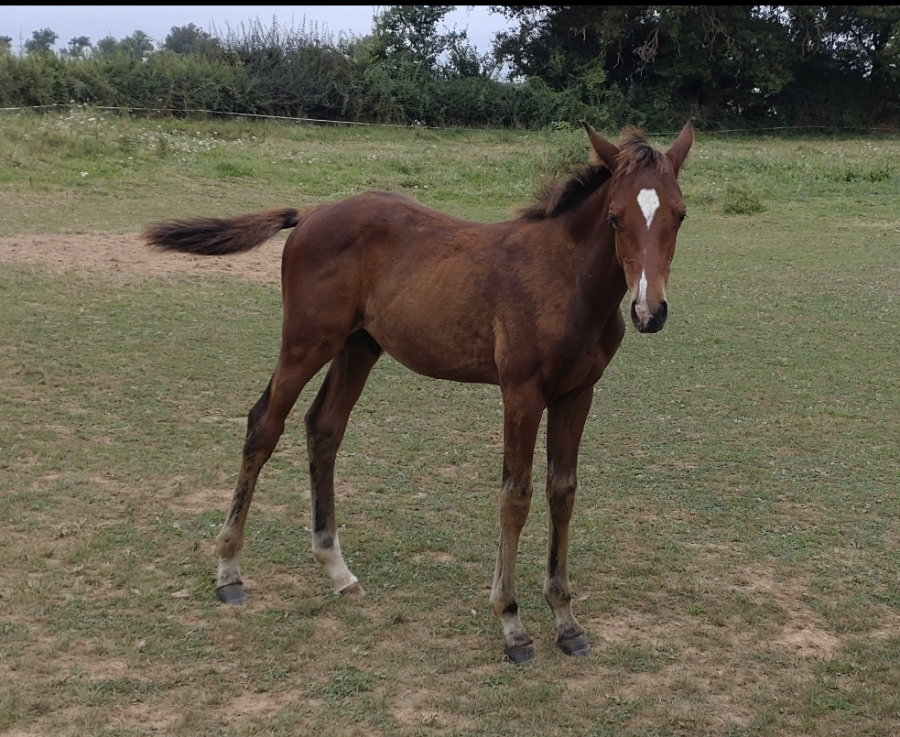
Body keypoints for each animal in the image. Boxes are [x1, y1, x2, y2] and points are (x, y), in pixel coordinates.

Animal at [144, 121, 696, 660]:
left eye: (680, 215)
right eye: (616, 218)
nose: (649, 312)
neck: (565, 280)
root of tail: (312, 213)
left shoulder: (577, 394)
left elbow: (562, 492)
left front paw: (566, 620)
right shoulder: (520, 393)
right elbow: (515, 496)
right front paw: (512, 624)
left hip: (358, 346)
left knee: (324, 427)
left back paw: (337, 570)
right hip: (306, 343)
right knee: (264, 425)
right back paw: (229, 572)